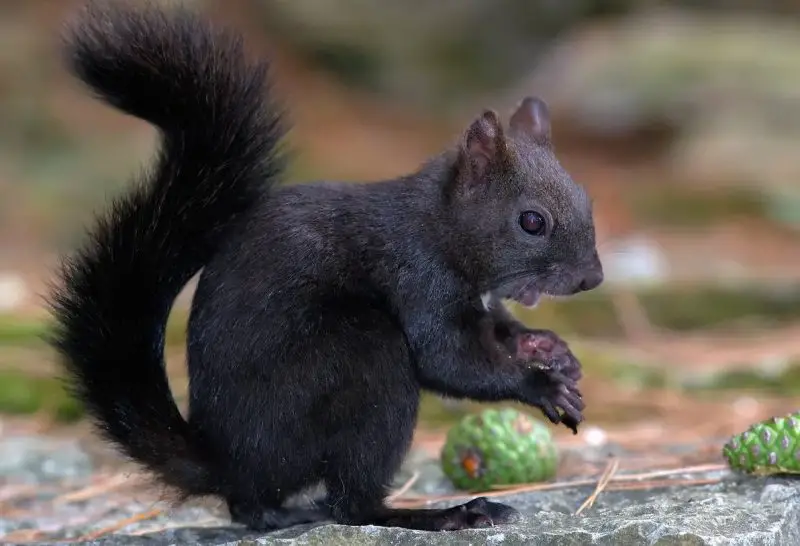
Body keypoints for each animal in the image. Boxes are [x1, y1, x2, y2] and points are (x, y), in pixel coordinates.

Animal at [47, 0, 604, 533]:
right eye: (532, 221)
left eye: (586, 198)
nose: (592, 278)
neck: (440, 227)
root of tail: (227, 460)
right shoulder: (418, 278)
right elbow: (448, 361)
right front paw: (540, 385)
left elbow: (499, 330)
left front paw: (548, 347)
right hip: (362, 359)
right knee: (347, 504)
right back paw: (438, 514)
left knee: (254, 507)